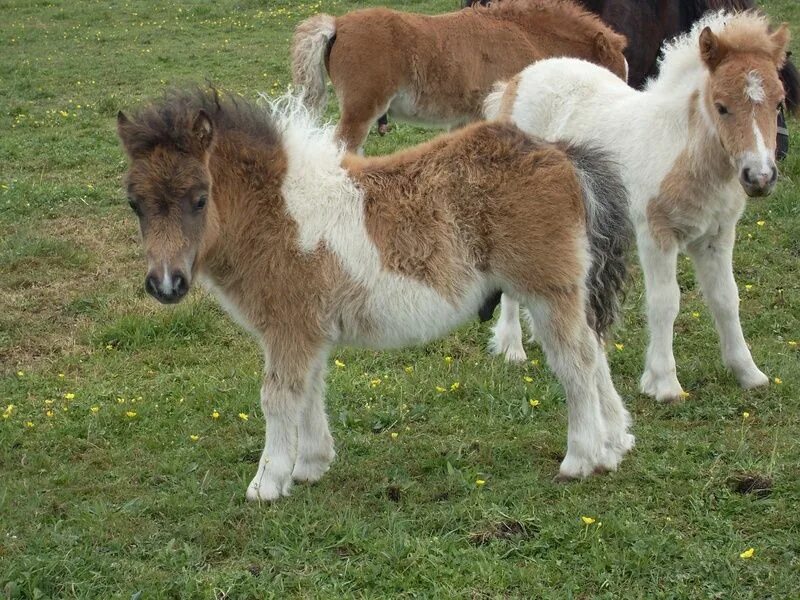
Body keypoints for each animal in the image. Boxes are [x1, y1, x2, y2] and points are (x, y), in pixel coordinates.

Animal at [115, 90, 636, 502]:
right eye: (135, 203)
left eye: (199, 198)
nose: (165, 284)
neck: (277, 213)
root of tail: (561, 154)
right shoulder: (311, 330)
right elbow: (311, 390)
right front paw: (311, 465)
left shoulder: (290, 326)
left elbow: (278, 397)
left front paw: (266, 484)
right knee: (595, 352)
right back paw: (614, 444)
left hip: (548, 290)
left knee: (575, 361)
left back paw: (580, 458)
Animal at [484, 9, 792, 400]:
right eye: (721, 106)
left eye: (779, 102)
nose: (760, 177)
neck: (683, 151)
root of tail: (517, 81)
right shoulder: (656, 234)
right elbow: (665, 302)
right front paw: (664, 383)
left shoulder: (718, 235)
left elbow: (726, 298)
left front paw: (749, 373)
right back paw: (511, 347)